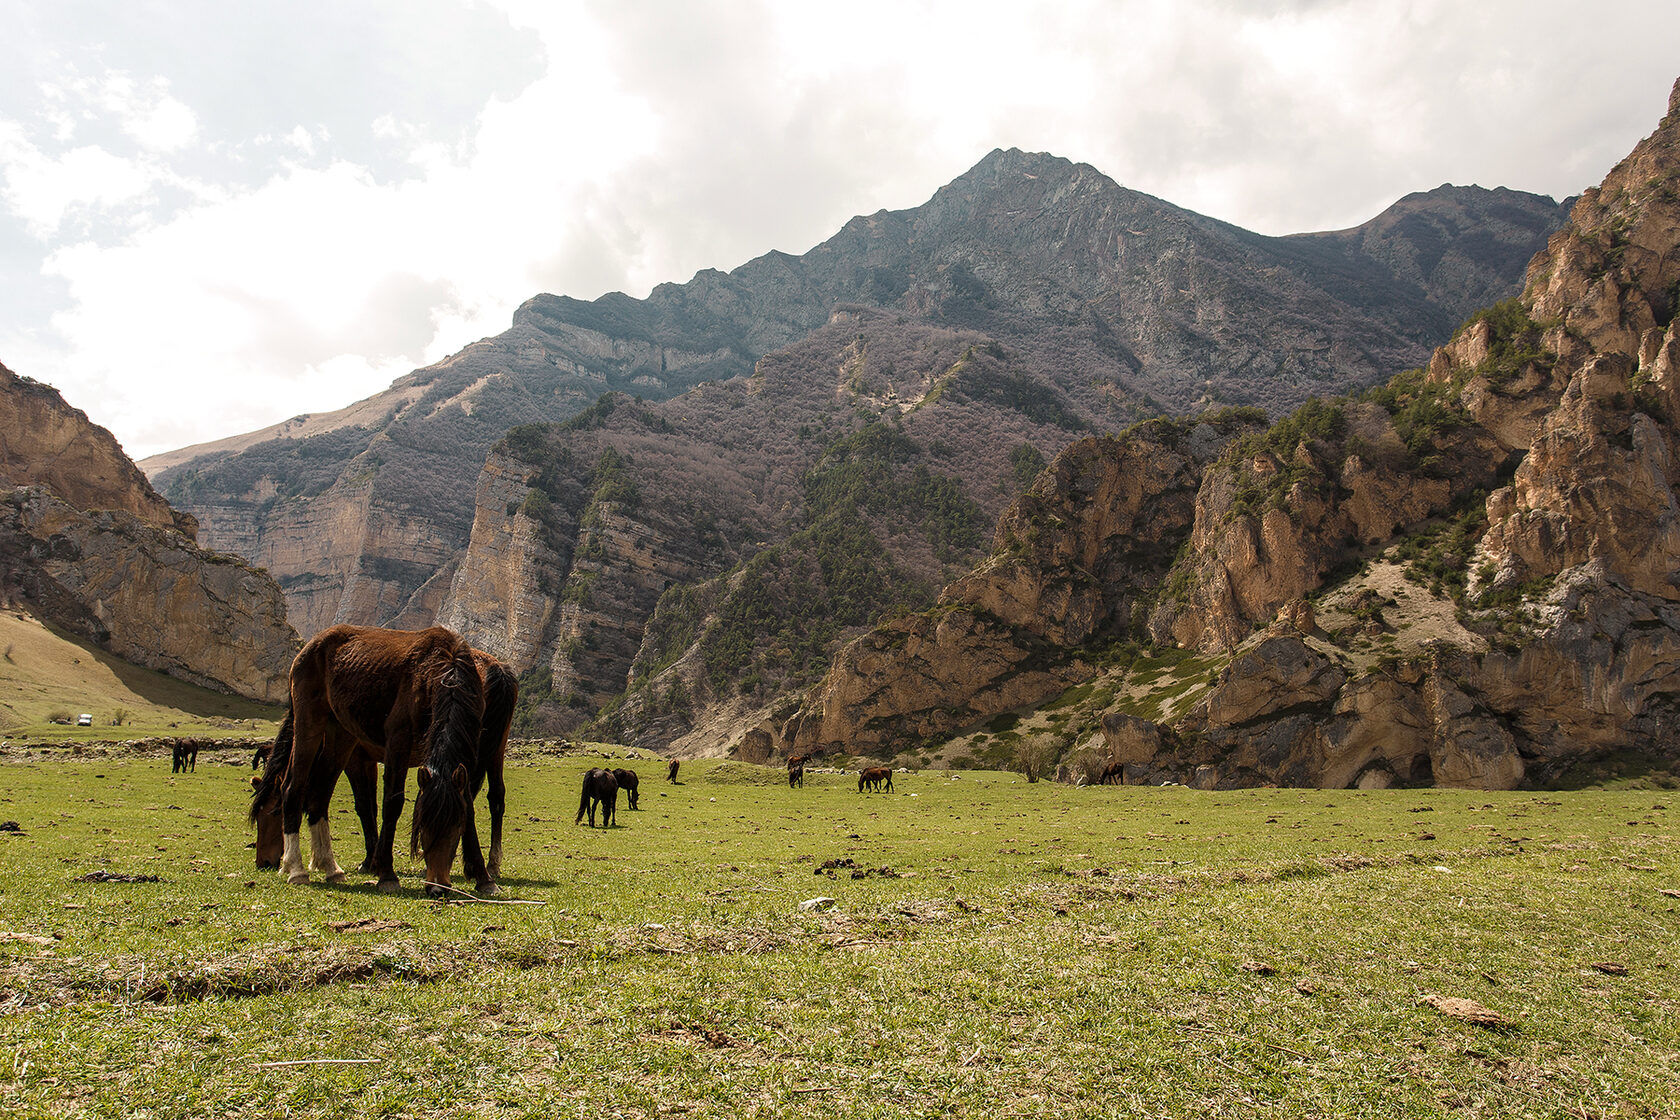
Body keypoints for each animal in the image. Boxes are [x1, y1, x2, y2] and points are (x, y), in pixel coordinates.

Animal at [250, 648, 517, 893]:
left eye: (271, 813)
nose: (263, 862)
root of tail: (496, 669)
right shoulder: (368, 758)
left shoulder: (357, 758)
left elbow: (364, 806)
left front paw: (371, 861)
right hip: (495, 747)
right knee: (495, 798)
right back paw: (489, 866)